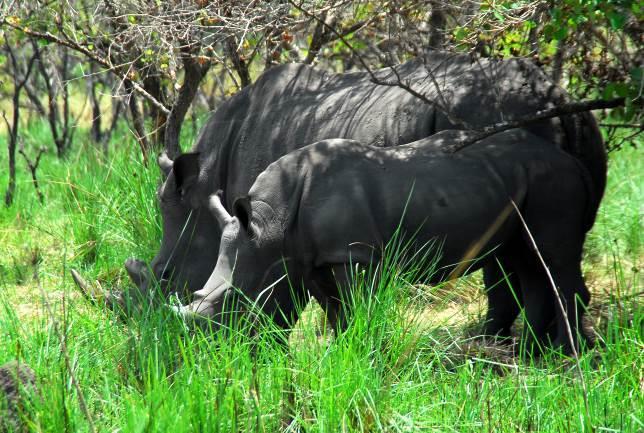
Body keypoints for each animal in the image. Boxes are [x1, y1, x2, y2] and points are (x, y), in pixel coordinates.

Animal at [179, 130, 596, 352]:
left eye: (234, 300)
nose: (216, 353)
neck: (271, 227)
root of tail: (572, 160)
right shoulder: (311, 260)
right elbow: (335, 311)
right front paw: (342, 352)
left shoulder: (352, 255)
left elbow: (355, 307)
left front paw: (360, 351)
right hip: (526, 181)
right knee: (526, 260)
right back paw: (531, 354)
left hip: (552, 181)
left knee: (551, 258)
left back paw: (567, 356)